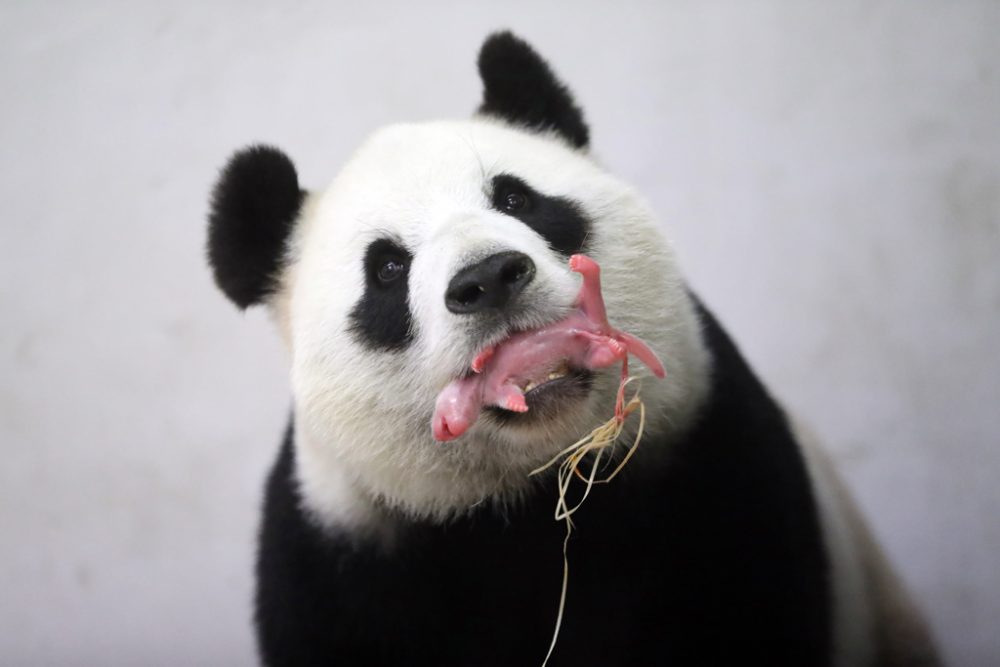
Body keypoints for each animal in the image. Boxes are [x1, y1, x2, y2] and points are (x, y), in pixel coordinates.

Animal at [207, 30, 940, 667]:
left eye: (515, 198)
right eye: (386, 268)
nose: (488, 278)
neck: (532, 494)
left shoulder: (715, 460)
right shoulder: (343, 551)